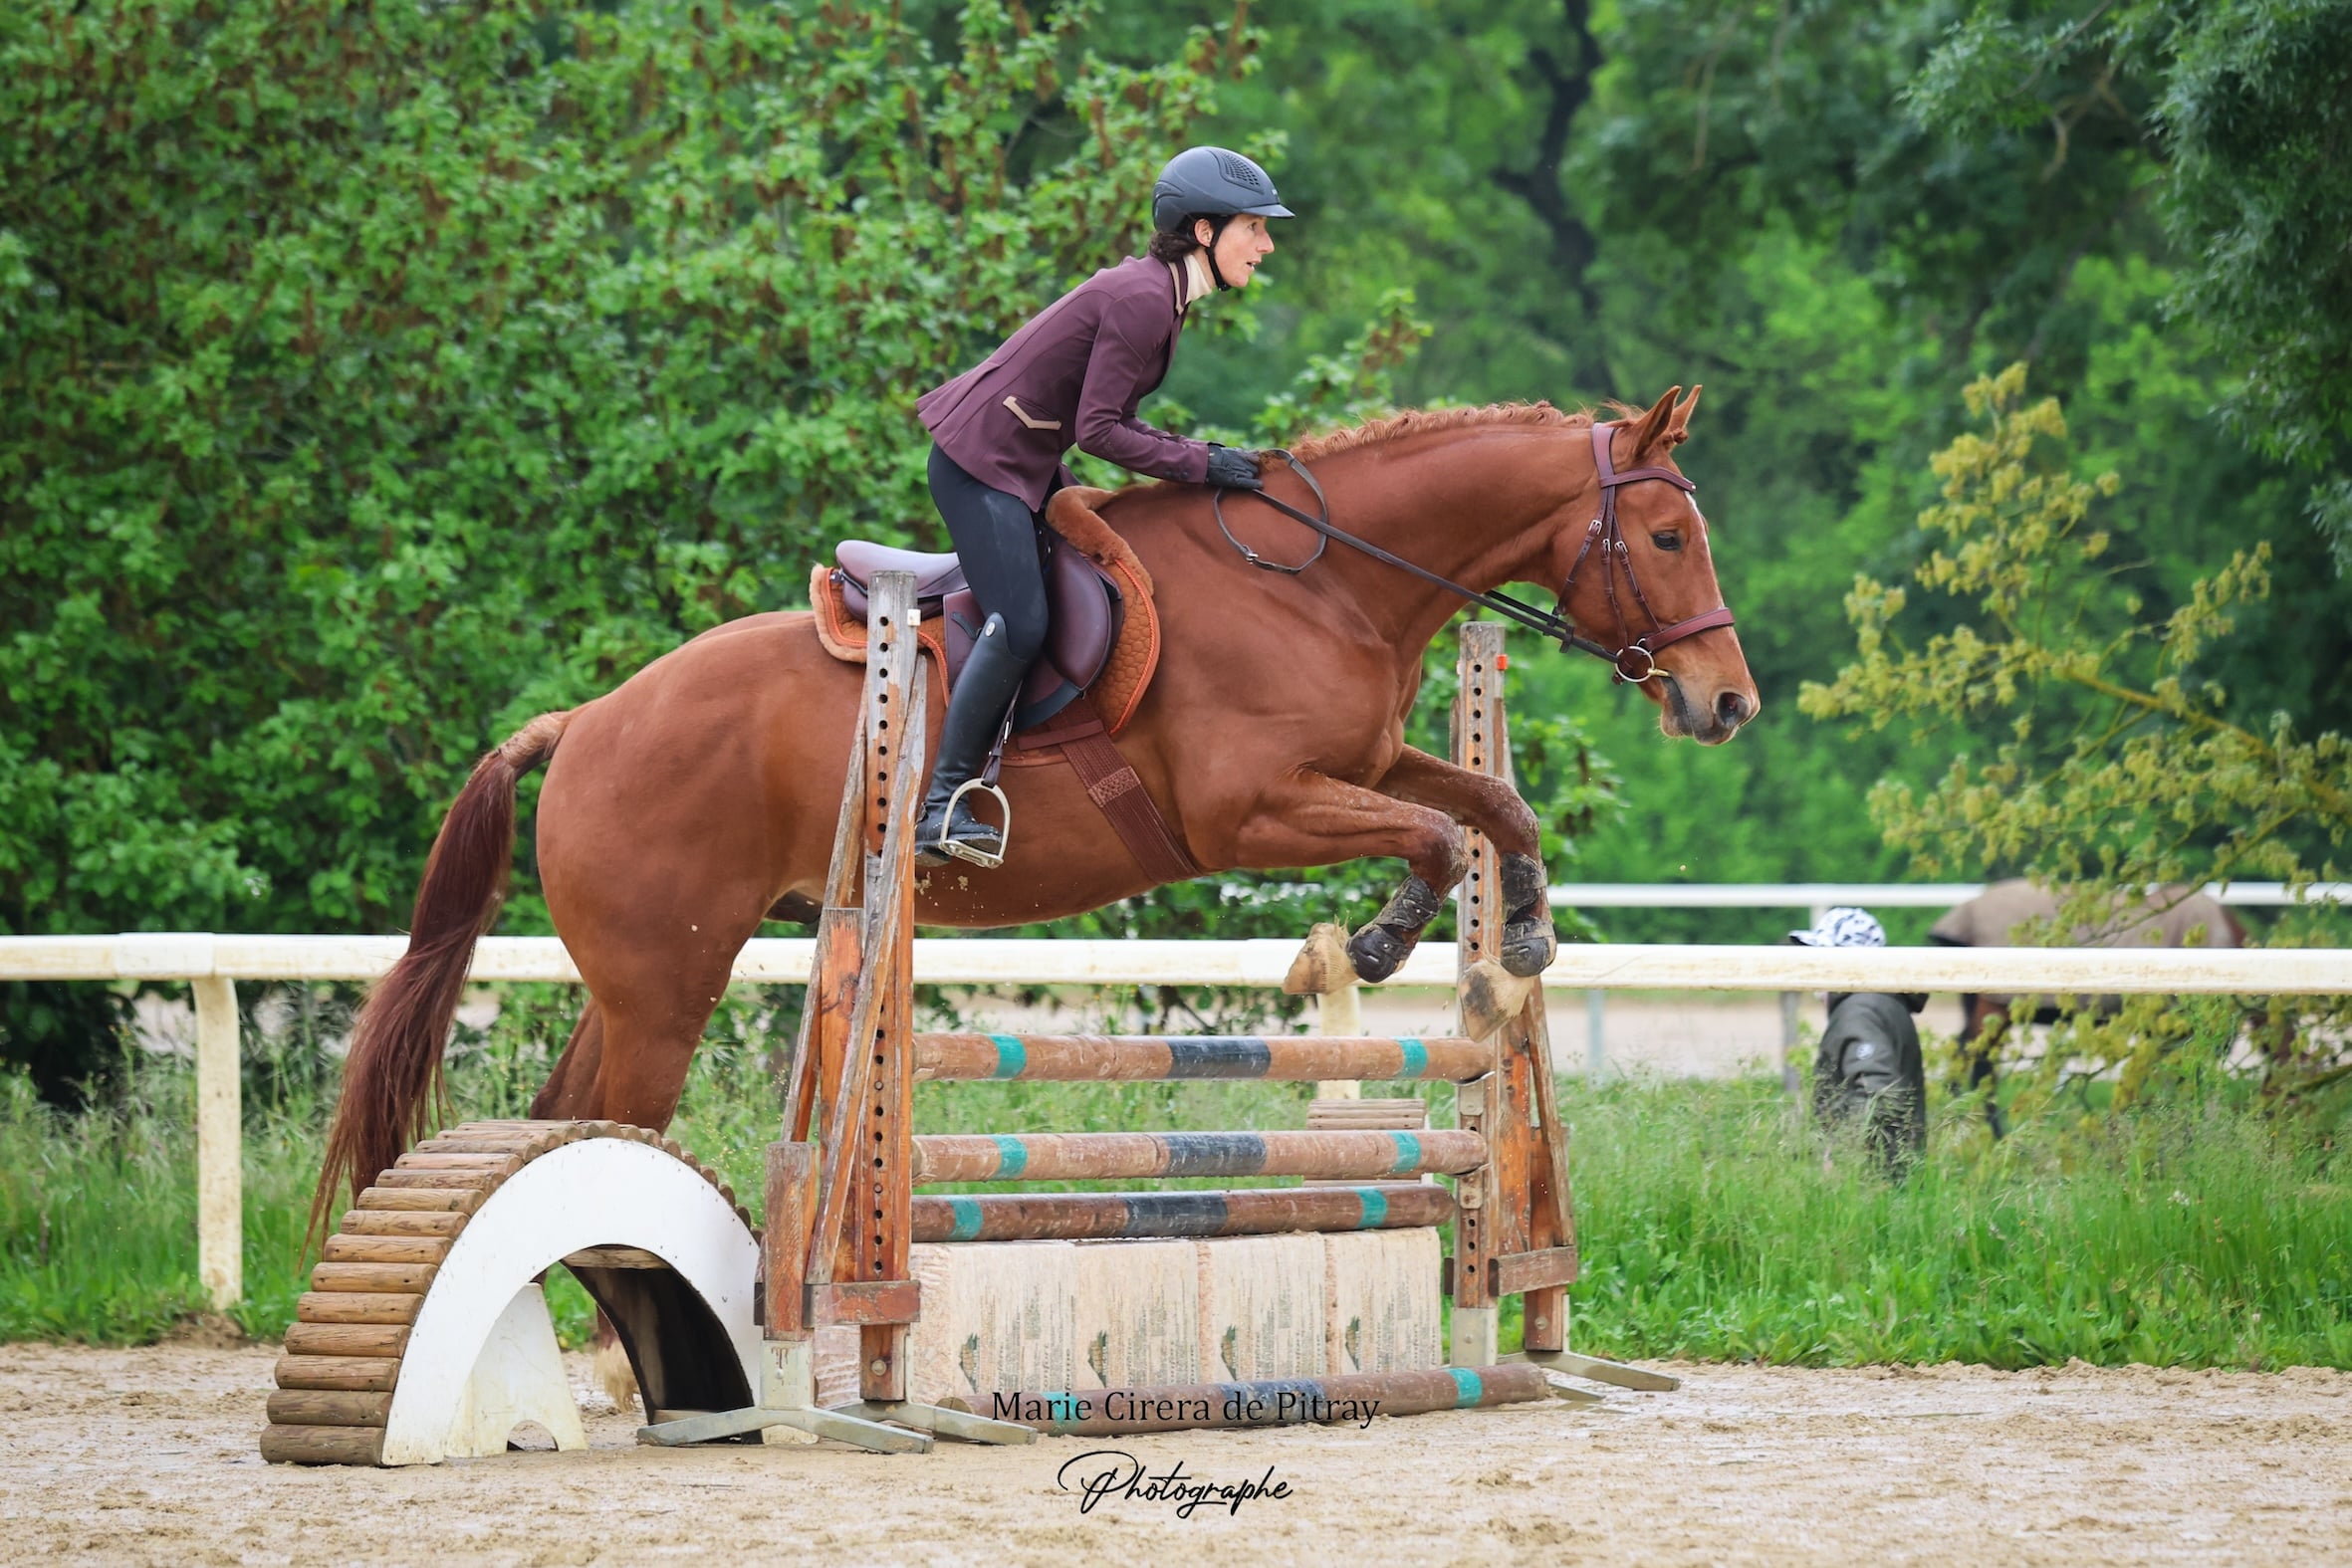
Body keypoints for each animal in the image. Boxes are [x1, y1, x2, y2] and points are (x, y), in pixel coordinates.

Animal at [314, 386, 1758, 1216]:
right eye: (1670, 536)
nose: (1728, 704)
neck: (1323, 578)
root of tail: (584, 721)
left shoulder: (1360, 756)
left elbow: (1483, 809)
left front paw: (1521, 935)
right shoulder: (1246, 810)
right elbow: (1426, 835)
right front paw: (1378, 941)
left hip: (642, 979)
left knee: (565, 1115)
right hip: (665, 983)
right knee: (606, 1120)